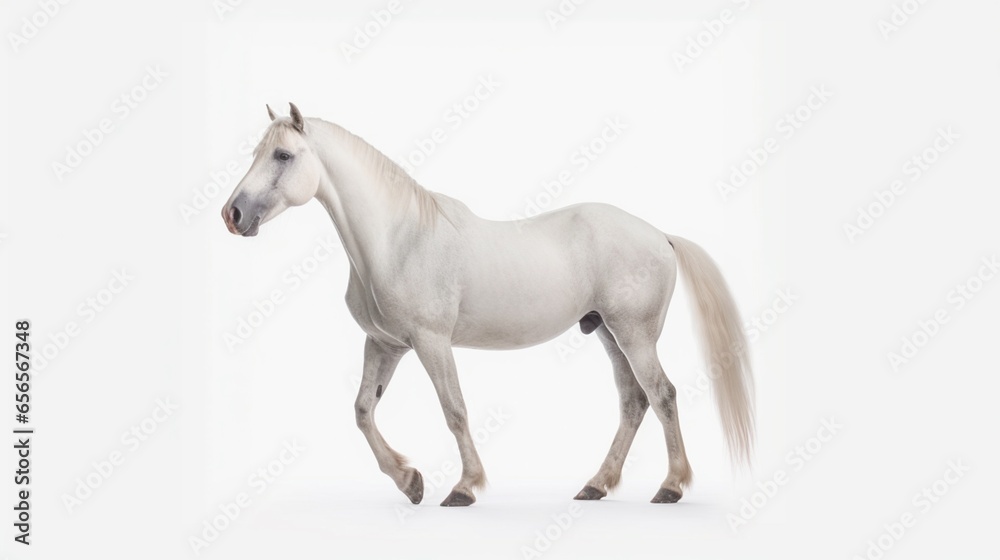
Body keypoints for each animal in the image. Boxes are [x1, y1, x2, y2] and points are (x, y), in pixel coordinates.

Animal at [222, 103, 755, 507]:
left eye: (284, 155)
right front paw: (409, 482)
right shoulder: (385, 344)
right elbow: (362, 411)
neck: (400, 238)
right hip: (608, 332)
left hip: (635, 335)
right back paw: (596, 485)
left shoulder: (431, 342)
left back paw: (670, 487)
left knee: (662, 396)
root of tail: (661, 236)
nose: (233, 214)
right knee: (633, 401)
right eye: (257, 153)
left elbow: (454, 409)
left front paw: (463, 487)